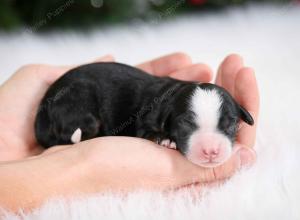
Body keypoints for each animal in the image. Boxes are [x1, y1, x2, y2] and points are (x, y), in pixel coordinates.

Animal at [34, 62, 253, 168]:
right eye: (185, 124)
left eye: (231, 124)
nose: (211, 151)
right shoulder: (144, 120)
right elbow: (147, 131)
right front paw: (165, 139)